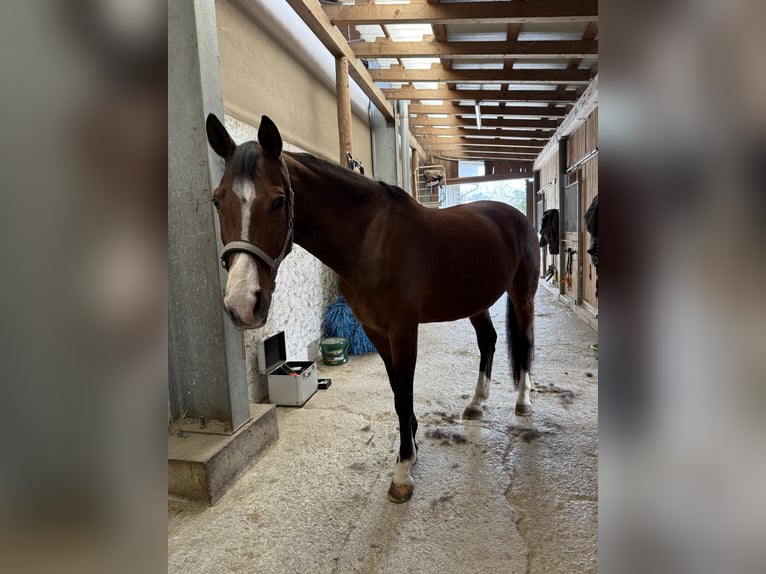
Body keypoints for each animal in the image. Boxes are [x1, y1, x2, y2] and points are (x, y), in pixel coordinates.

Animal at [205, 114, 540, 503]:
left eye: (277, 201)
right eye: (217, 200)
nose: (242, 304)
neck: (369, 240)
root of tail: (515, 216)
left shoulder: (403, 330)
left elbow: (404, 394)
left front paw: (403, 471)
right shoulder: (375, 330)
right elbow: (396, 391)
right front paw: (410, 448)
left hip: (523, 295)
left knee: (526, 342)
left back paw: (523, 401)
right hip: (476, 301)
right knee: (488, 341)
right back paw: (476, 404)